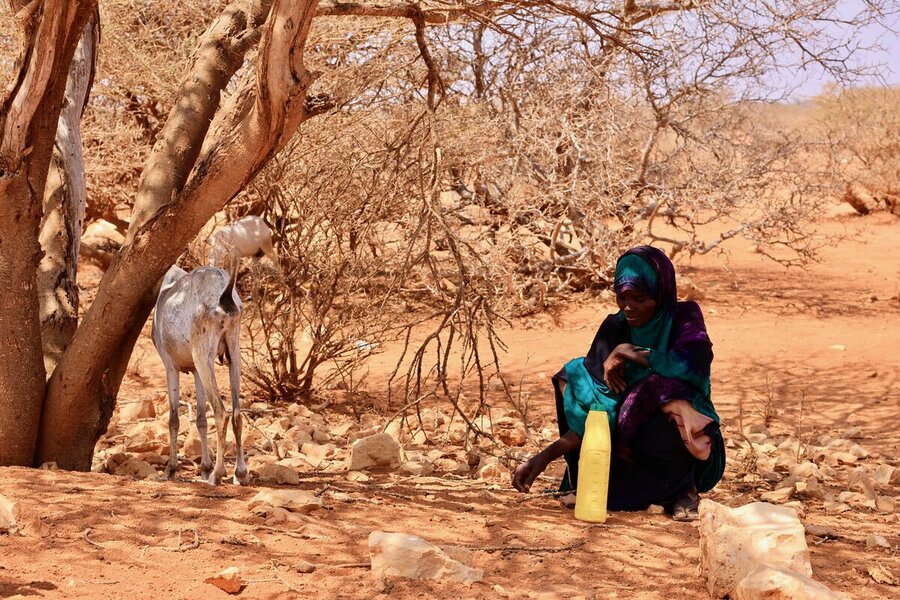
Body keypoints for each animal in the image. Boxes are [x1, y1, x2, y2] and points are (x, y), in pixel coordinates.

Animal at [151, 264, 248, 485]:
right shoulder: (195, 370)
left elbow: (173, 419)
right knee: (237, 413)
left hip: (203, 355)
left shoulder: (170, 366)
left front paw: (170, 470)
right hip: (234, 350)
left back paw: (217, 475)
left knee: (221, 412)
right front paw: (204, 468)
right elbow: (201, 419)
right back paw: (240, 473)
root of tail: (224, 297)